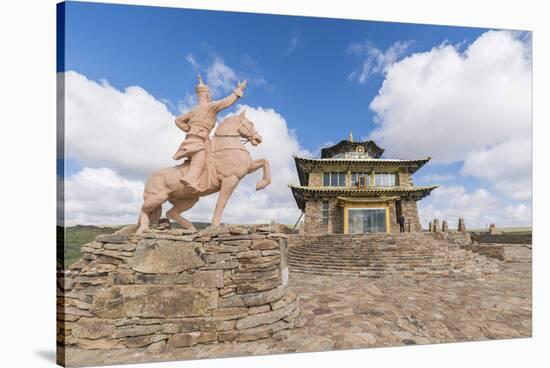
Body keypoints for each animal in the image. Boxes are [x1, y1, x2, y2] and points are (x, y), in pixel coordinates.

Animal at [138, 110, 272, 234]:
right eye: (250, 123)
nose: (259, 139)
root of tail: (150, 178)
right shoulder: (231, 178)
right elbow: (221, 202)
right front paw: (215, 226)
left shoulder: (247, 168)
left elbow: (264, 162)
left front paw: (261, 184)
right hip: (158, 197)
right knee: (144, 209)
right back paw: (143, 229)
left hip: (189, 199)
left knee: (171, 213)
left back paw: (191, 228)